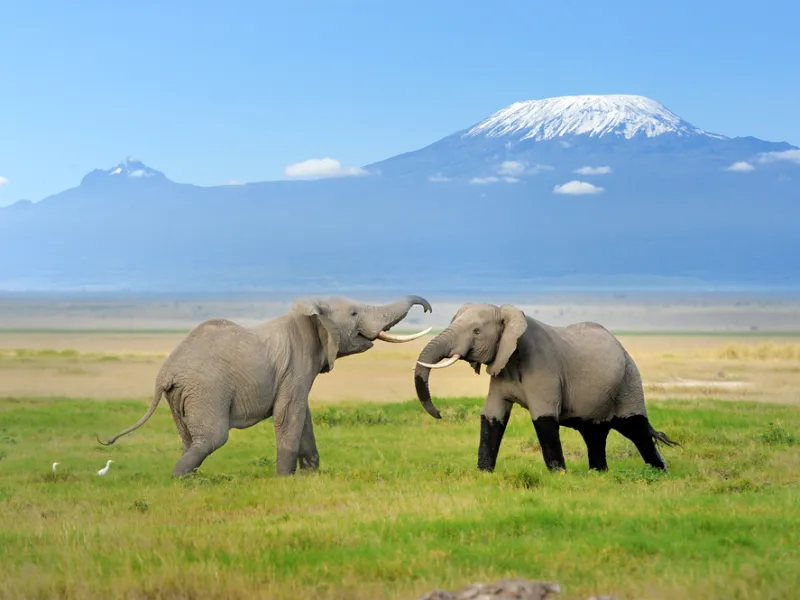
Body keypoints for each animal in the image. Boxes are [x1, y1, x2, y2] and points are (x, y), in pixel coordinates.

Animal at [96, 295, 432, 477]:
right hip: (205, 390)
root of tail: (164, 374)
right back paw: (179, 480)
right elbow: (289, 414)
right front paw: (285, 479)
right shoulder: (296, 365)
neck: (309, 312)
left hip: (181, 396)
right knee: (212, 439)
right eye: (353, 313)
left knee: (189, 439)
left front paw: (311, 476)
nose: (428, 309)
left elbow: (303, 416)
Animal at [413, 303, 679, 473]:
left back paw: (660, 473)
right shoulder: (502, 366)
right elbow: (492, 416)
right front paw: (484, 473)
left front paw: (558, 476)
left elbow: (544, 419)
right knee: (595, 433)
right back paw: (599, 474)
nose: (439, 414)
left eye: (476, 331)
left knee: (636, 428)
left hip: (629, 380)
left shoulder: (543, 368)